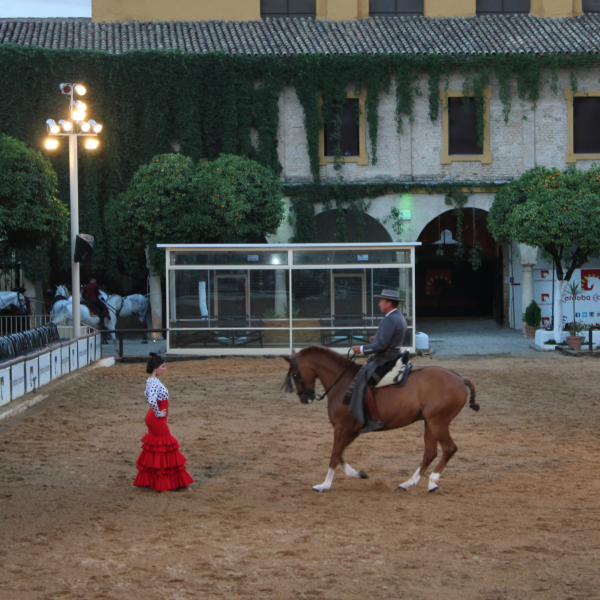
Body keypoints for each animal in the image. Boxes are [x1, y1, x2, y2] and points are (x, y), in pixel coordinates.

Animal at [282, 346, 478, 492]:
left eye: (295, 374)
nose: (305, 397)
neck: (343, 383)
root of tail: (460, 379)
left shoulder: (341, 427)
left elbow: (334, 456)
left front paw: (325, 485)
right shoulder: (351, 430)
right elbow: (340, 453)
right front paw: (358, 474)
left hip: (438, 422)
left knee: (449, 449)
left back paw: (433, 482)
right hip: (429, 423)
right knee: (430, 453)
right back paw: (408, 483)